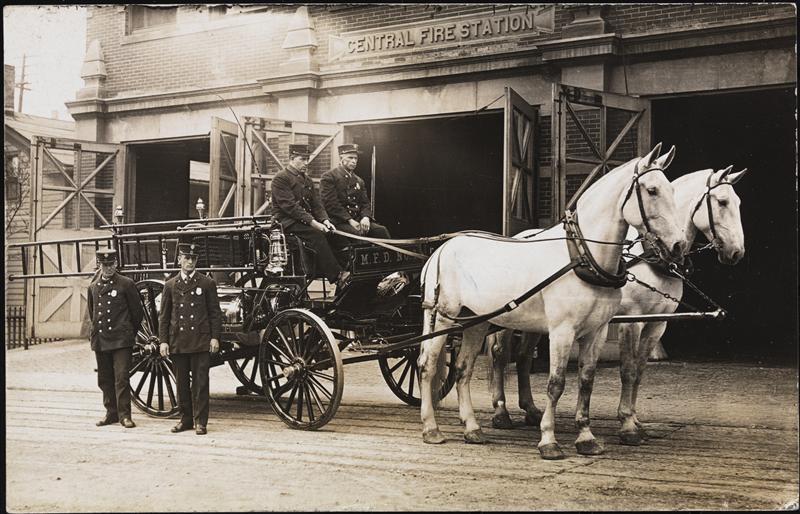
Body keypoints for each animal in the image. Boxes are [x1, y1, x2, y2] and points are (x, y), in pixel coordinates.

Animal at [417, 143, 686, 460]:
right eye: (652, 190)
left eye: (671, 190)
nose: (679, 245)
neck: (582, 255)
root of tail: (441, 249)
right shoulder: (562, 330)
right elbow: (556, 383)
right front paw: (548, 440)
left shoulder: (597, 331)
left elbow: (586, 380)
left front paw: (586, 437)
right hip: (442, 316)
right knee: (427, 365)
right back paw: (431, 428)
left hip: (475, 321)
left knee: (462, 370)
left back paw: (472, 428)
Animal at [486, 164, 747, 447]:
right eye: (722, 202)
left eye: (738, 203)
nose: (737, 252)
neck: (651, 257)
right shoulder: (632, 321)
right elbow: (628, 370)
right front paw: (627, 424)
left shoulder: (658, 323)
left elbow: (640, 371)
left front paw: (635, 420)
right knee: (500, 356)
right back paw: (501, 412)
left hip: (533, 320)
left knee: (523, 357)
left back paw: (531, 410)